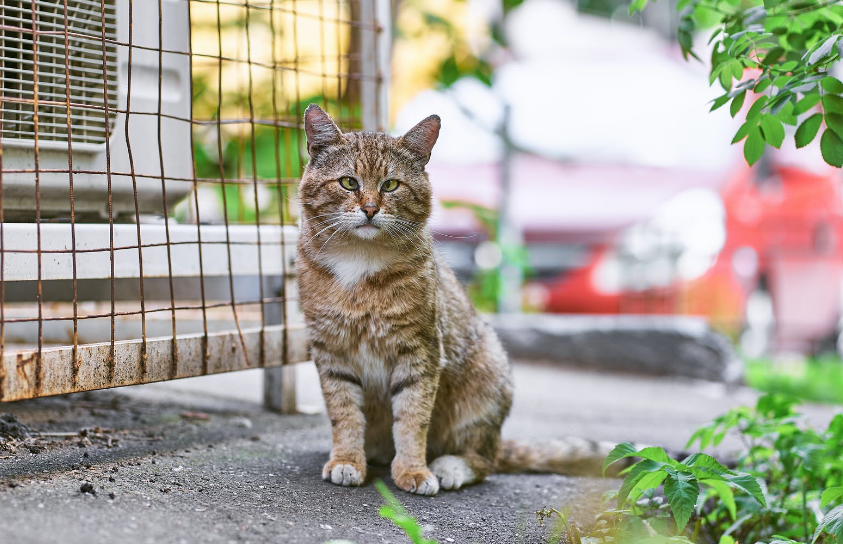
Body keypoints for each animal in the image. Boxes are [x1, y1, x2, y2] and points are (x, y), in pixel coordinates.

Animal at [296, 104, 620, 496]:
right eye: (348, 182)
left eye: (390, 184)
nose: (371, 209)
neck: (360, 261)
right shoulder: (331, 351)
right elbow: (343, 413)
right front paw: (347, 459)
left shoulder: (420, 350)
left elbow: (413, 418)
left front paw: (413, 469)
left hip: (488, 377)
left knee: (484, 459)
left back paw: (450, 466)